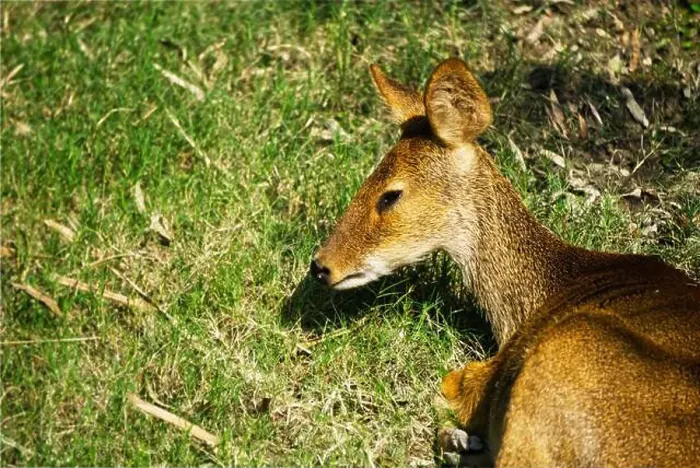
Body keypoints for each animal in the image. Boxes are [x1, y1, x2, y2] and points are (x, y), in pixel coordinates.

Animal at [310, 58, 700, 467]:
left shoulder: (486, 378)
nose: (320, 265)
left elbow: (446, 389)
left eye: (390, 195)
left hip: (566, 352)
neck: (543, 291)